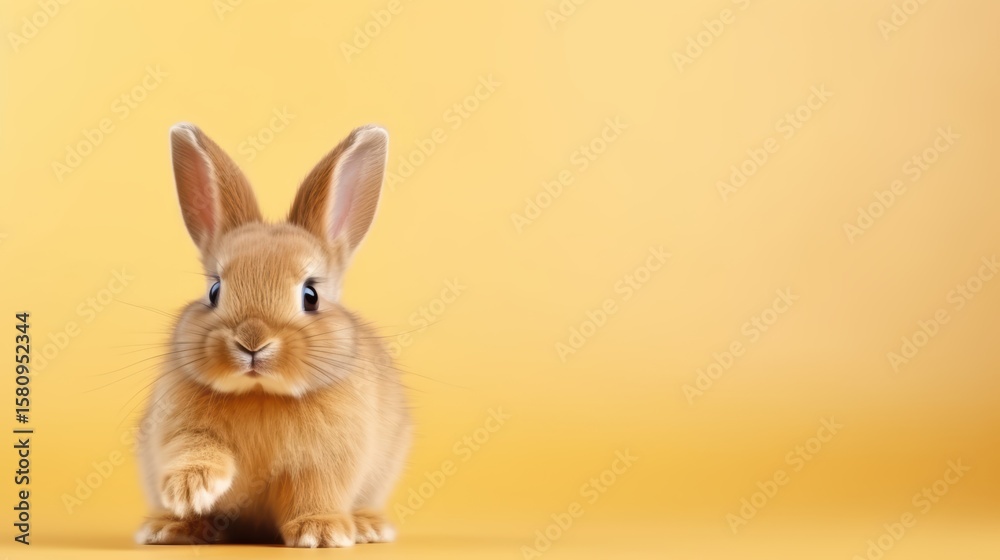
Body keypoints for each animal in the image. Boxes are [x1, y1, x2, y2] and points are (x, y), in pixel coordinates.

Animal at [135, 123, 411, 548]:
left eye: (311, 296)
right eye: (214, 291)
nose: (252, 341)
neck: (260, 393)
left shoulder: (325, 463)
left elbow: (315, 492)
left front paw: (321, 532)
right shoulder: (177, 429)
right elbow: (193, 449)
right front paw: (190, 488)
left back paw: (367, 526)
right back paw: (172, 528)